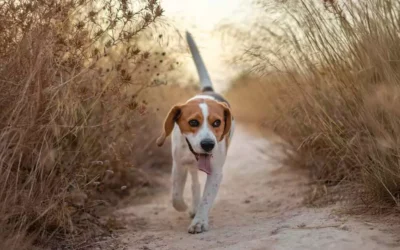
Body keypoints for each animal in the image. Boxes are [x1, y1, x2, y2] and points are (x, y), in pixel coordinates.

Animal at [156, 31, 234, 234]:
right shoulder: (178, 165)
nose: (208, 145)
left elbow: (207, 199)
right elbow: (175, 195)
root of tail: (208, 91)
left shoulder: (216, 172)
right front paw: (184, 206)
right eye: (193, 122)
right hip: (188, 166)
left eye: (217, 122)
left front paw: (199, 221)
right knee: (194, 182)